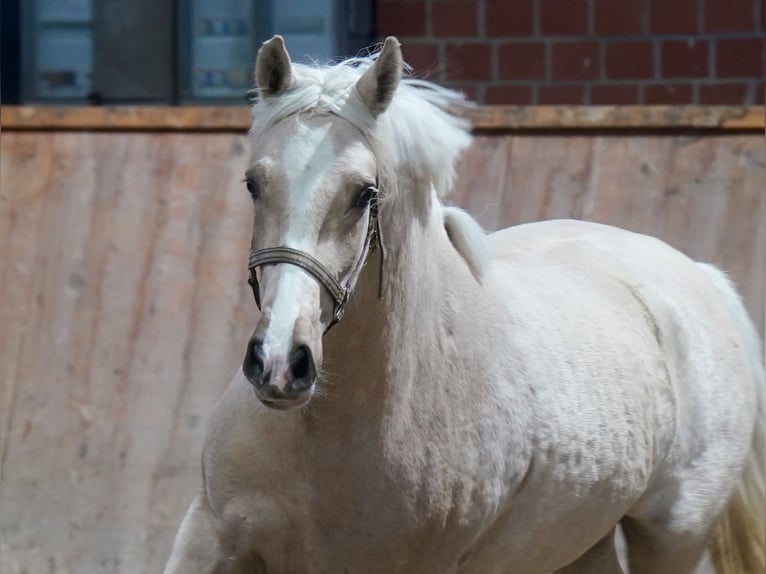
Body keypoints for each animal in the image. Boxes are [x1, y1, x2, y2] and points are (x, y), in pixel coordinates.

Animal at [163, 36, 765, 573]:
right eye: (253, 183)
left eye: (363, 194)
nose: (279, 365)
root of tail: (702, 277)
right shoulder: (209, 540)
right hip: (574, 545)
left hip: (673, 537)